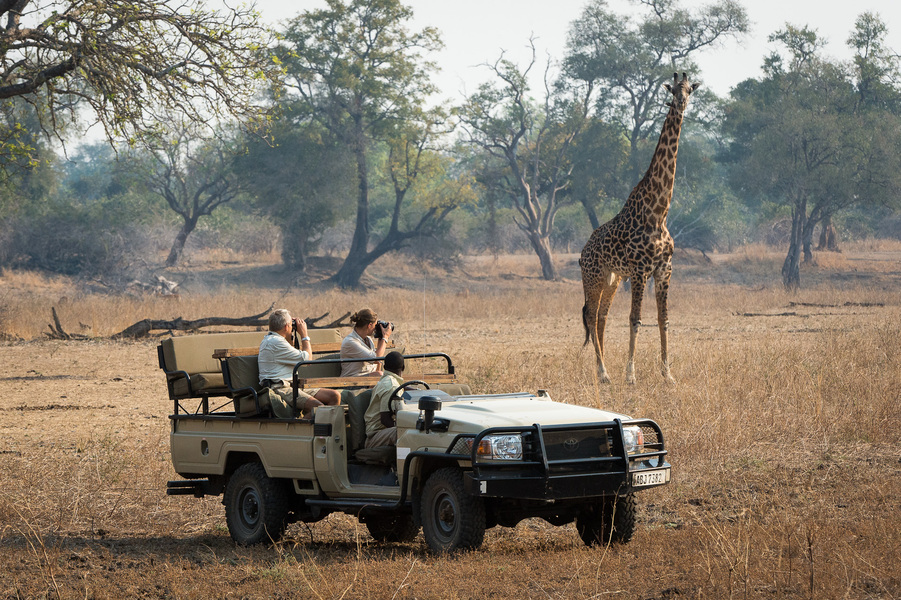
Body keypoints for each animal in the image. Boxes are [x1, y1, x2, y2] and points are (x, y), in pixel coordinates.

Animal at [579, 72, 699, 385]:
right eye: (673, 89)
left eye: (690, 89)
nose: (680, 103)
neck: (659, 213)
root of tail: (582, 252)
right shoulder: (640, 270)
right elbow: (635, 320)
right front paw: (631, 375)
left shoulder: (664, 269)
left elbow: (663, 319)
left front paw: (668, 375)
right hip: (593, 277)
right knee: (591, 315)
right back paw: (604, 372)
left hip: (612, 279)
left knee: (601, 317)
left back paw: (603, 371)